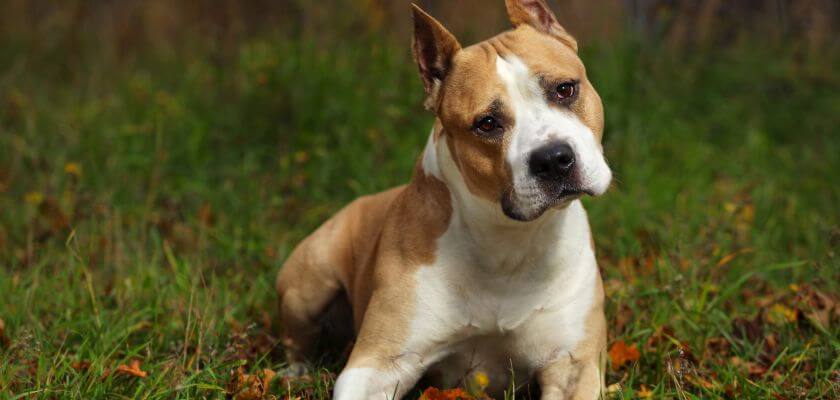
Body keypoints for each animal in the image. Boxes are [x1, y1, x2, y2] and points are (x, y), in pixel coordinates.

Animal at [276, 1, 612, 398]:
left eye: (564, 89)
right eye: (487, 124)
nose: (553, 158)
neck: (506, 242)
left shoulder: (574, 366)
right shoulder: (377, 364)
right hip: (309, 282)